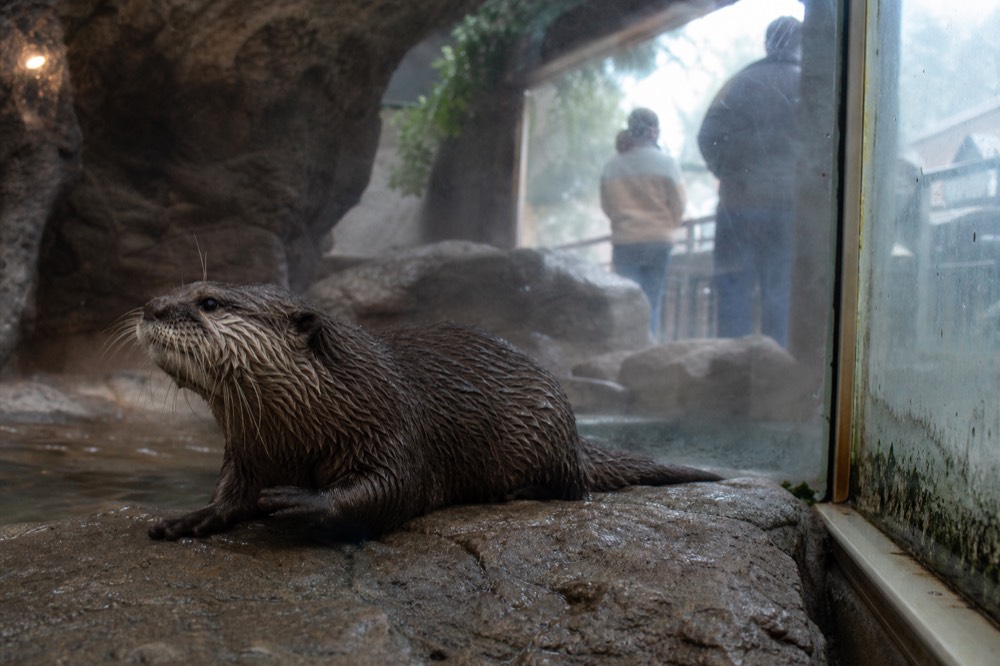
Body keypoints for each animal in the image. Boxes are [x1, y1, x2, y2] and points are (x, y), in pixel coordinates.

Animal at [133, 281, 720, 541]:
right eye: (183, 288)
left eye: (209, 303)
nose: (149, 306)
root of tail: (574, 431)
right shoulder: (245, 450)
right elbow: (230, 493)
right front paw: (194, 516)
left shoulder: (394, 427)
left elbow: (392, 490)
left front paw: (300, 500)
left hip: (545, 423)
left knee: (572, 485)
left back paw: (517, 491)